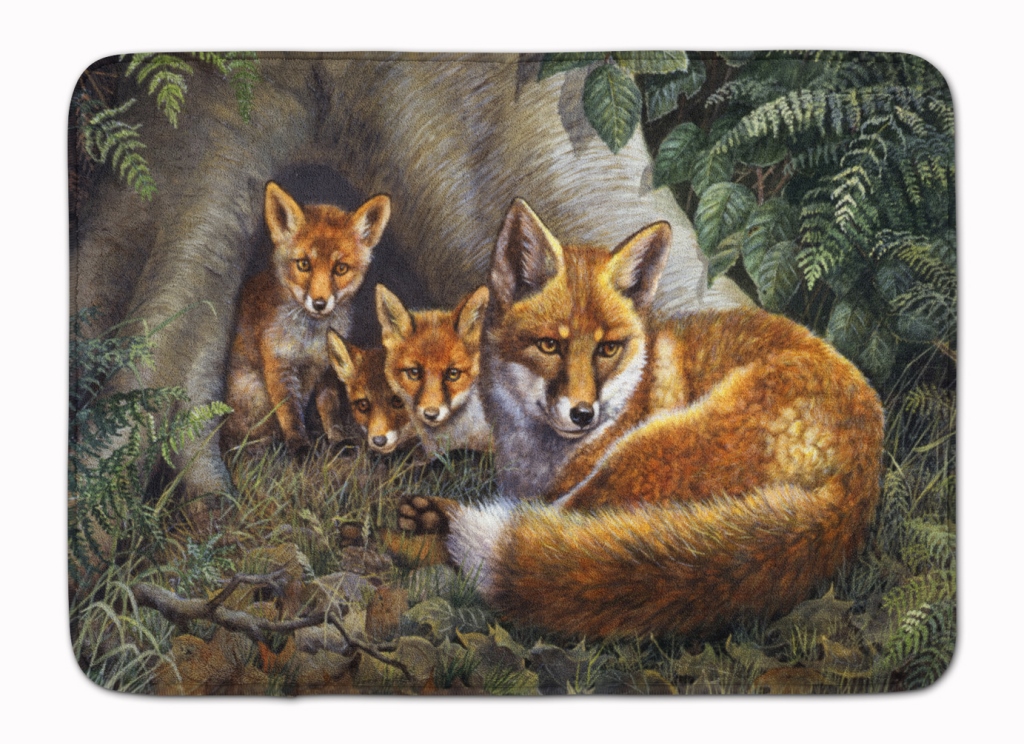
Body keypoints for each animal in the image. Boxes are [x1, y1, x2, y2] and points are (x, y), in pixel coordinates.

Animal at [220, 182, 391, 454]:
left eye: (340, 268)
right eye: (303, 264)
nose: (319, 303)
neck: (310, 341)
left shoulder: (326, 369)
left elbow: (329, 408)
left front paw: (338, 440)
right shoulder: (280, 367)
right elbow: (290, 412)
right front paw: (300, 446)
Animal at [401, 198, 884, 639]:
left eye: (607, 348)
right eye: (549, 345)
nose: (582, 414)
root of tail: (859, 485)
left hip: (647, 452)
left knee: (553, 527)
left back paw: (450, 521)